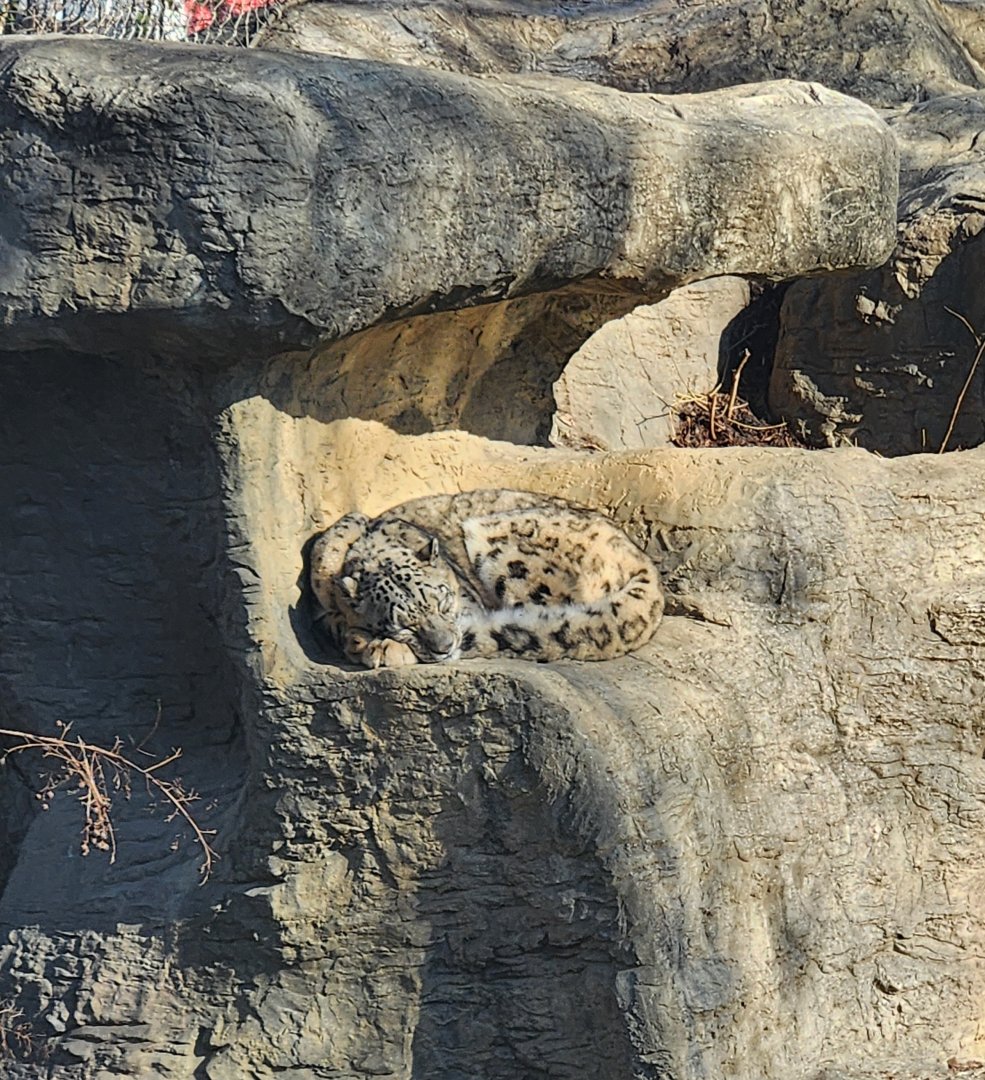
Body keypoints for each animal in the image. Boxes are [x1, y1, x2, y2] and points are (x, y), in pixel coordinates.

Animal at [309, 489, 664, 668]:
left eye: (443, 603)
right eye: (404, 625)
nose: (444, 647)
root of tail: (641, 559)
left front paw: (380, 649)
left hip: (503, 549)